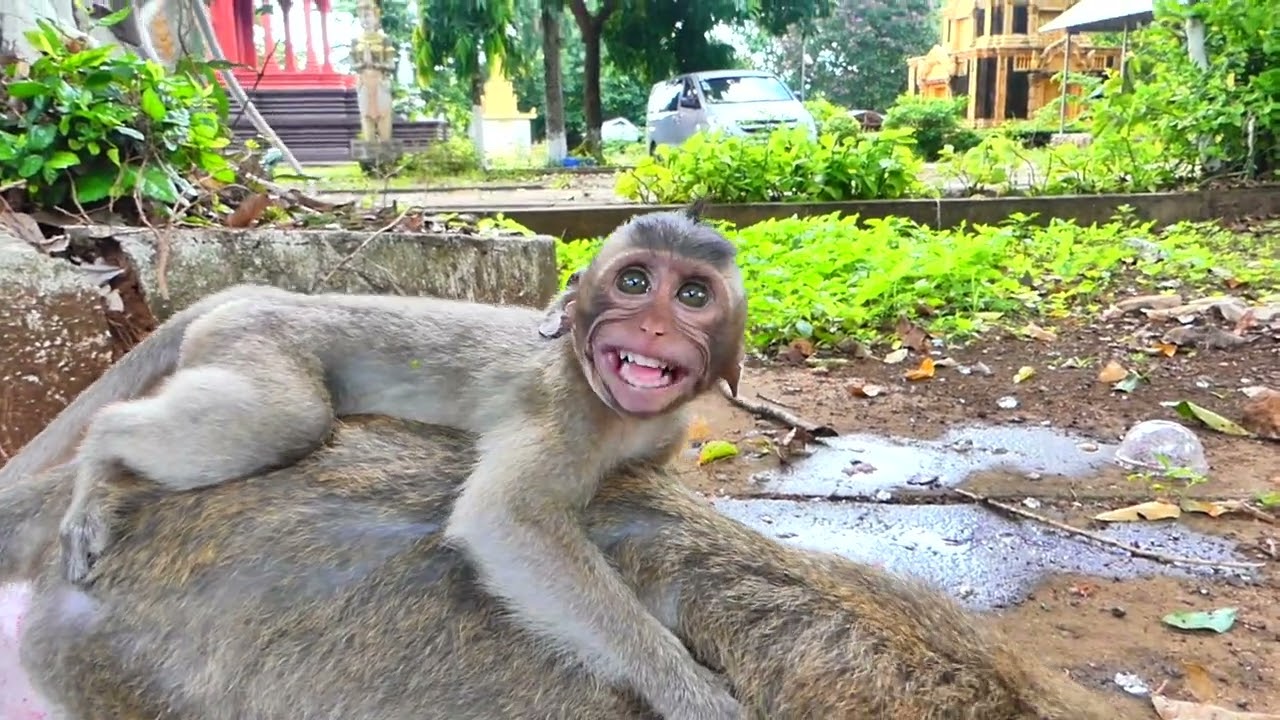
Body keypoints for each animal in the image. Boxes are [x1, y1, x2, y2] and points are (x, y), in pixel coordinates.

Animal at [0, 207, 749, 720]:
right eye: (634, 282)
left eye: (692, 295)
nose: (652, 326)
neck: (618, 411)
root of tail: (263, 295)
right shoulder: (566, 409)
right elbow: (505, 520)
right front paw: (692, 695)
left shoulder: (663, 429)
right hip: (257, 345)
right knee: (282, 421)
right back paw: (102, 458)